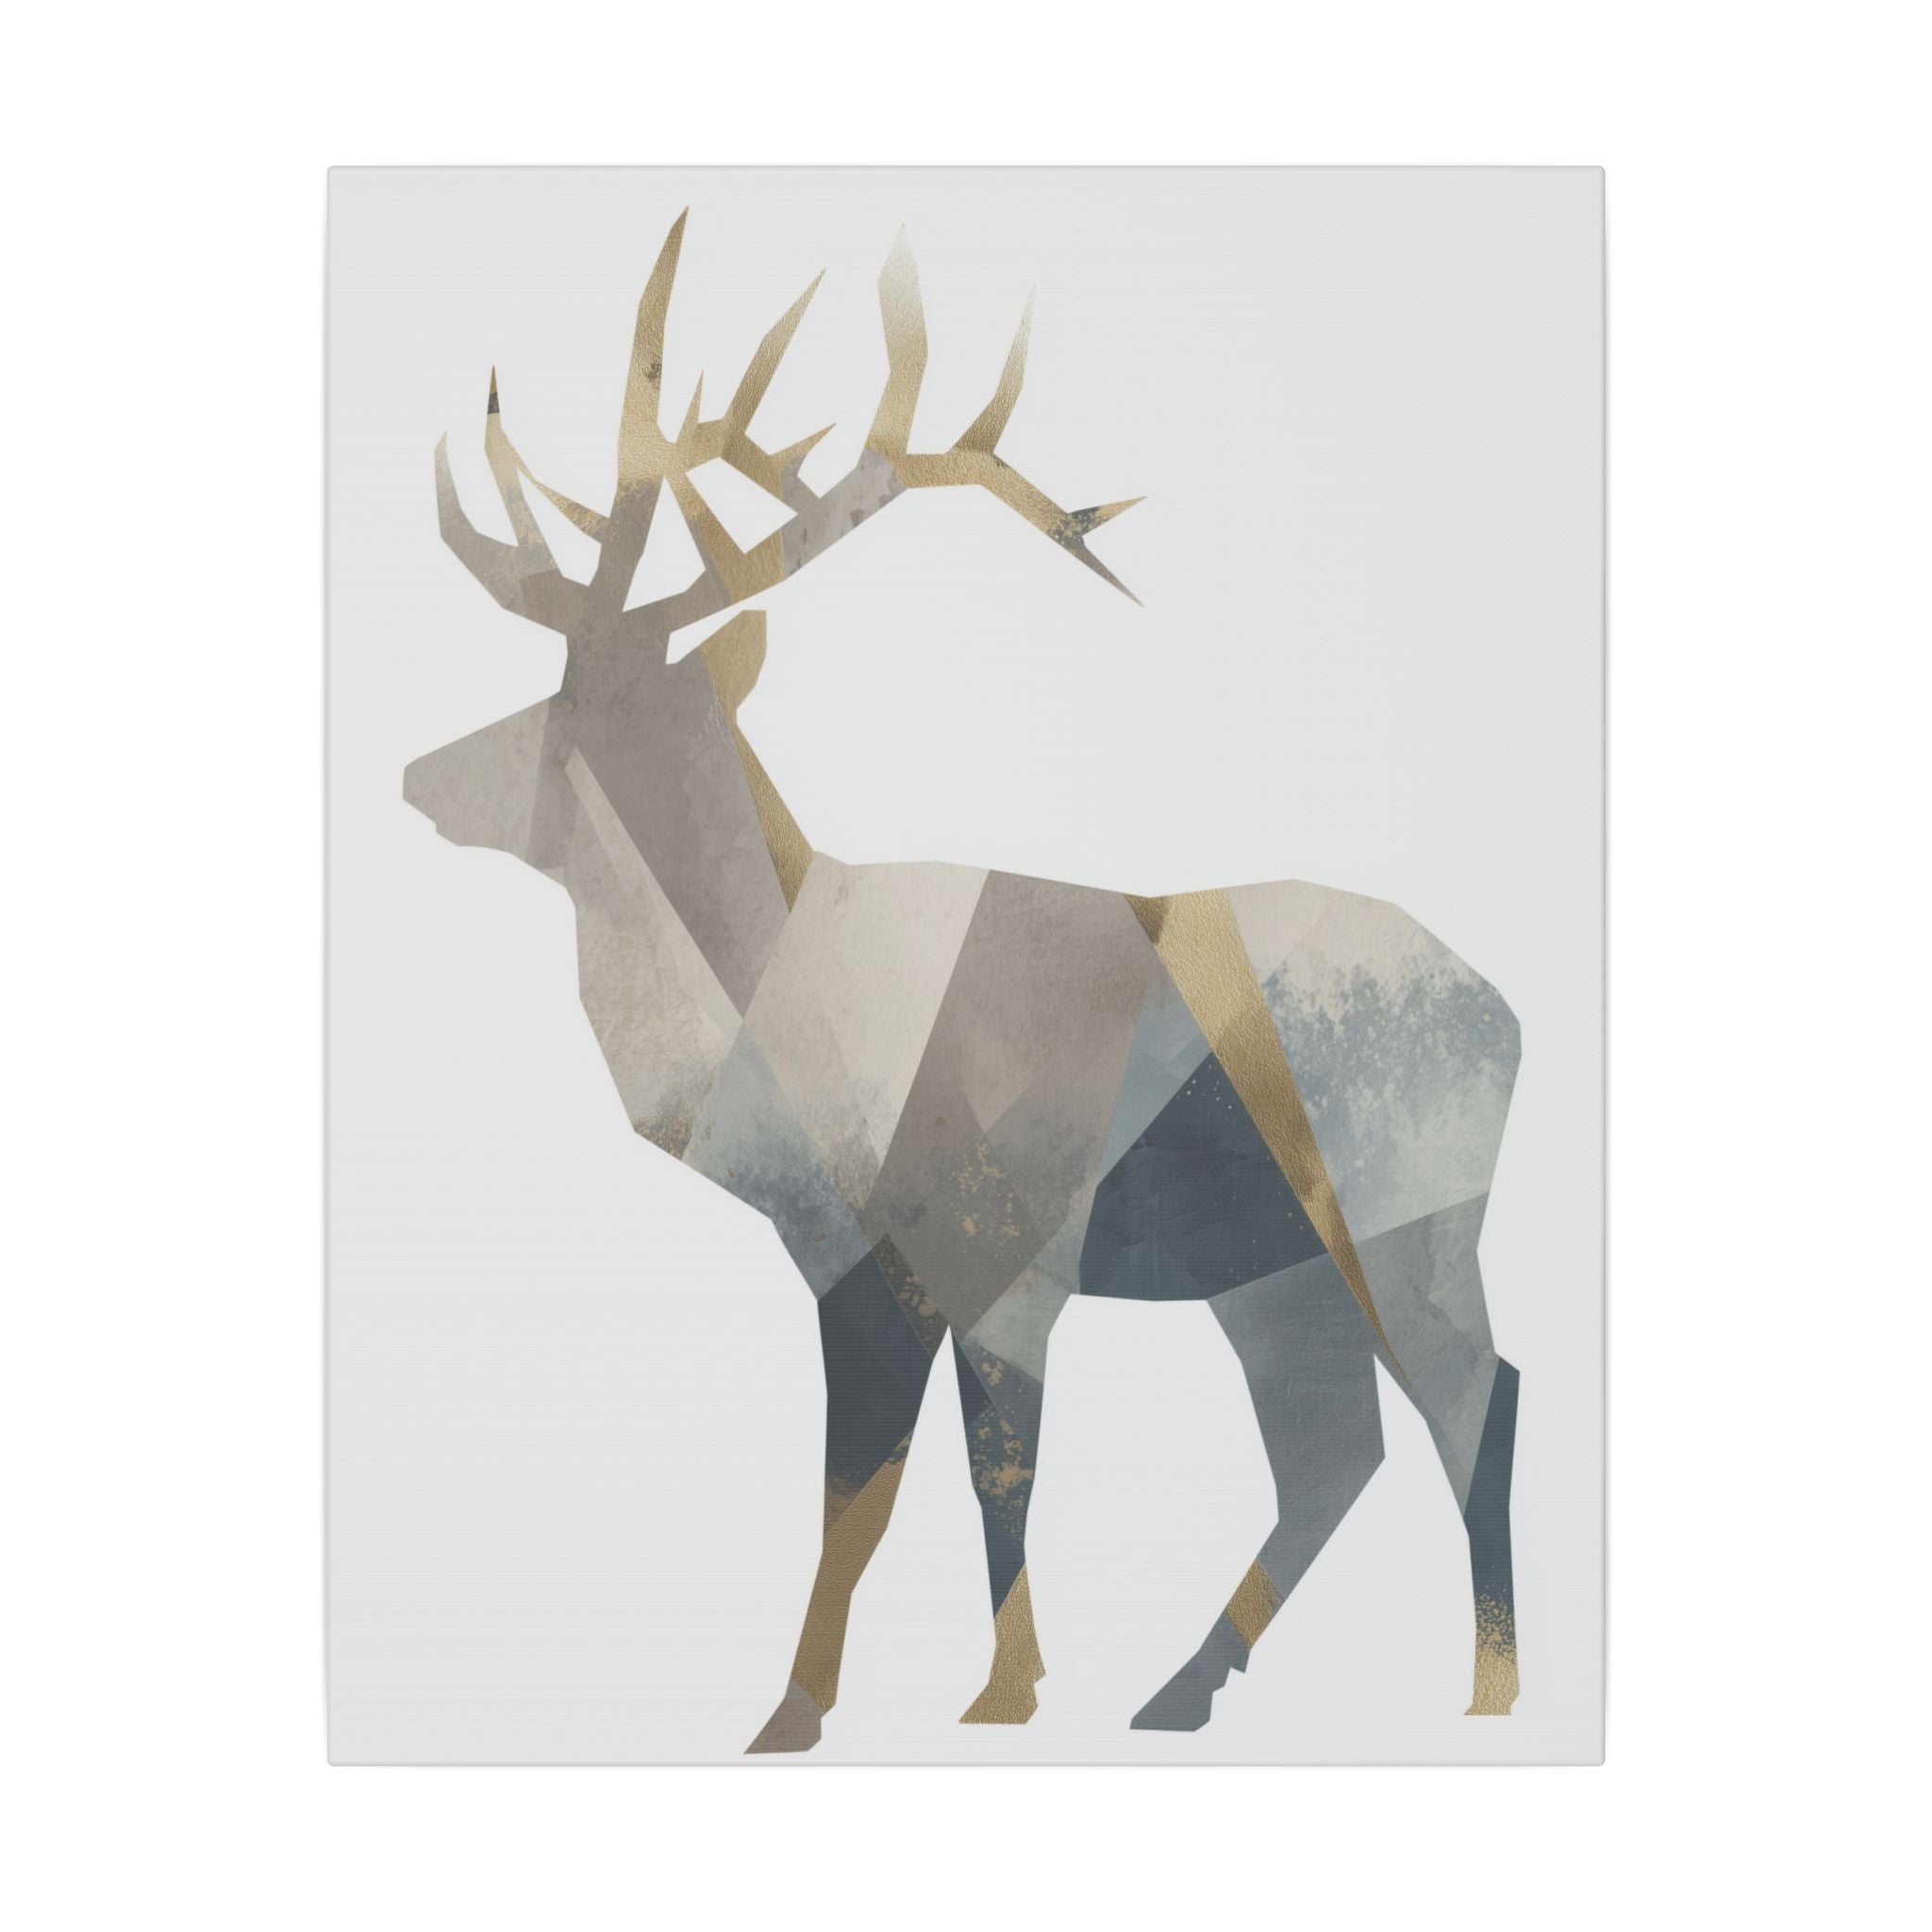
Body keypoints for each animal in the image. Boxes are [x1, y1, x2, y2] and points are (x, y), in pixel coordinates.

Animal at [403, 213, 1523, 1754]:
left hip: (1411, 1213)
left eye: (568, 708)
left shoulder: (973, 1255)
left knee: (1477, 1399)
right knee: (1330, 1445)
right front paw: (985, 1692)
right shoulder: (891, 1265)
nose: (416, 773)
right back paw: (1177, 1692)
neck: (784, 1027)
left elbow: (929, 1480)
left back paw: (1487, 1694)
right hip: (1273, 1269)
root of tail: (1513, 1017)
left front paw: (850, 1709)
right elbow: (920, 1480)